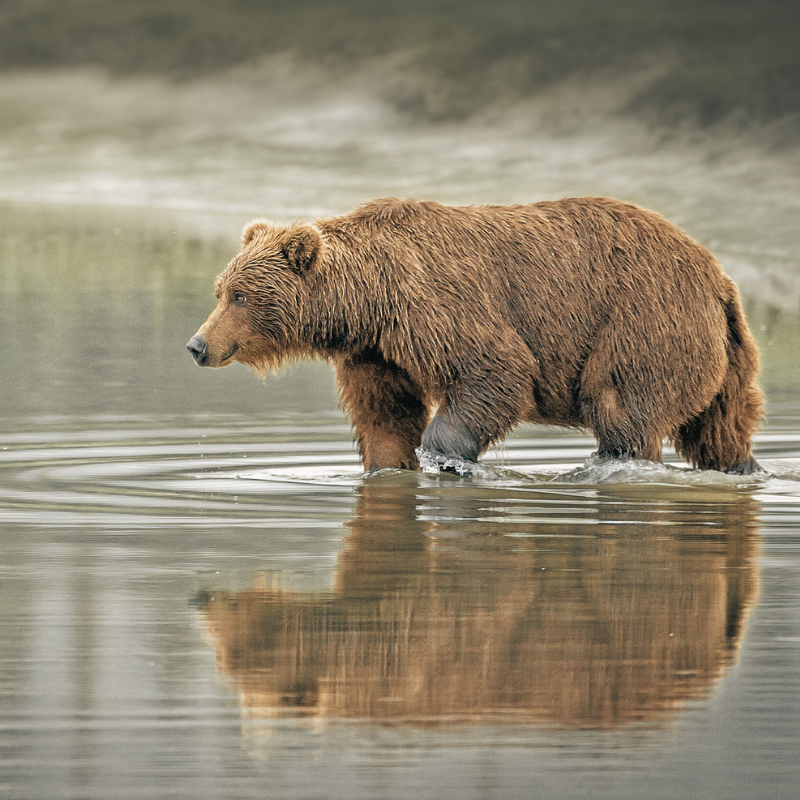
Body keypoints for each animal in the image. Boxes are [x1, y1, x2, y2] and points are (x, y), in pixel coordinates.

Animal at [187, 196, 763, 474]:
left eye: (240, 296)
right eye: (221, 290)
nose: (197, 345)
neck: (370, 301)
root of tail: (719, 278)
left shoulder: (436, 306)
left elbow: (496, 370)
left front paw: (443, 456)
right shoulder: (377, 351)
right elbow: (384, 413)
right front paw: (387, 466)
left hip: (640, 322)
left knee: (621, 408)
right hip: (722, 355)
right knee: (720, 428)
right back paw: (743, 468)